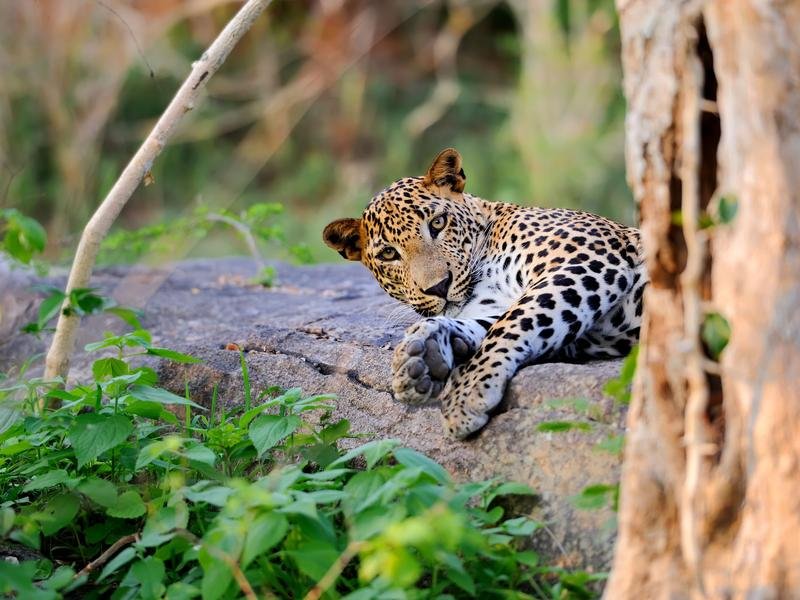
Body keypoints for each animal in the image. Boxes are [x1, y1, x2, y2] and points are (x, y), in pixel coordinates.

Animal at [323, 148, 646, 439]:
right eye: (389, 254)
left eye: (438, 223)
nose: (439, 286)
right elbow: (494, 322)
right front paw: (423, 353)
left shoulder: (584, 260)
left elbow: (513, 322)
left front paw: (466, 392)